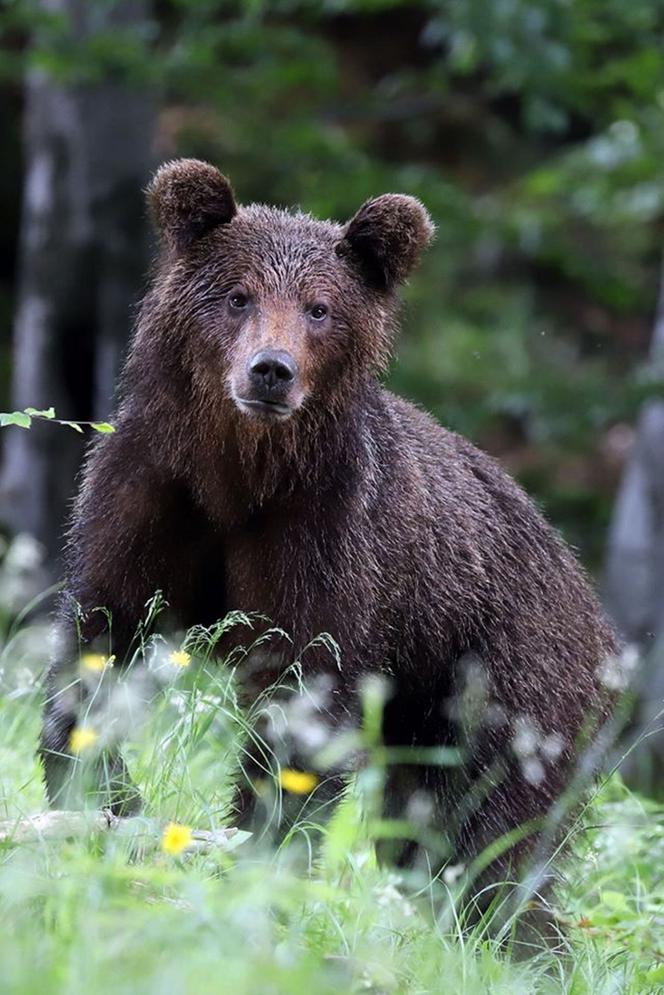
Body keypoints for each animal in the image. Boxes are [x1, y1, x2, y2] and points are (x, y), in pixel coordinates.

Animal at [42, 161, 616, 920]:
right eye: (237, 295)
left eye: (319, 308)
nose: (270, 369)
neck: (237, 474)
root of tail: (592, 604)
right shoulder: (150, 494)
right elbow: (99, 640)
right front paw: (104, 795)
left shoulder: (325, 536)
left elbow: (304, 700)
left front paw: (260, 849)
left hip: (508, 675)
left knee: (492, 828)